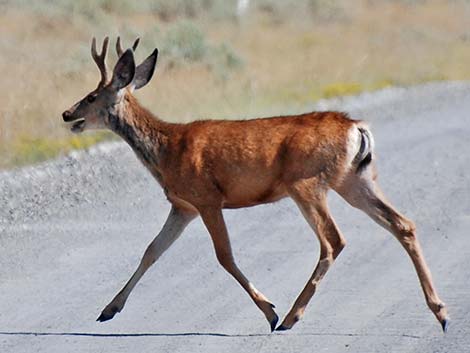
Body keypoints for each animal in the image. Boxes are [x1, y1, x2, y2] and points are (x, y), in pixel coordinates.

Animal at [61, 37, 448, 332]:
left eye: (91, 96)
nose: (67, 114)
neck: (167, 150)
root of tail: (357, 127)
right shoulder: (183, 206)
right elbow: (152, 250)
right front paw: (108, 309)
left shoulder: (207, 198)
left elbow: (224, 256)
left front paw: (269, 311)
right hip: (354, 179)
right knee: (402, 224)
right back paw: (440, 311)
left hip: (306, 183)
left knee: (333, 241)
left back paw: (290, 317)